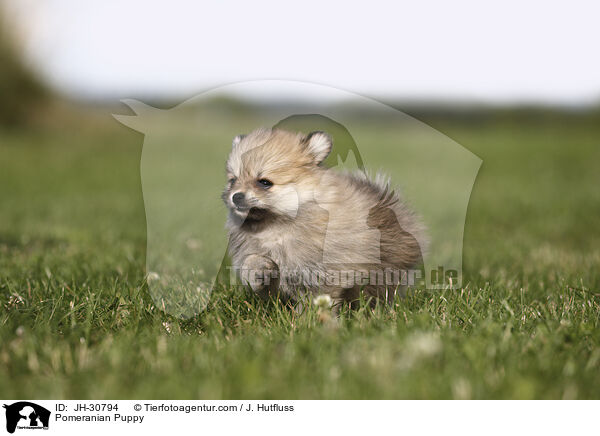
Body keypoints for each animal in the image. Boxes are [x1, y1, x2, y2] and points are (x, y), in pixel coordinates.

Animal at [223, 127, 424, 308]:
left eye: (264, 182)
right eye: (233, 180)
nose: (236, 196)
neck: (275, 224)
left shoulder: (321, 271)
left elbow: (316, 297)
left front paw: (310, 319)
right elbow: (251, 262)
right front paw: (258, 273)